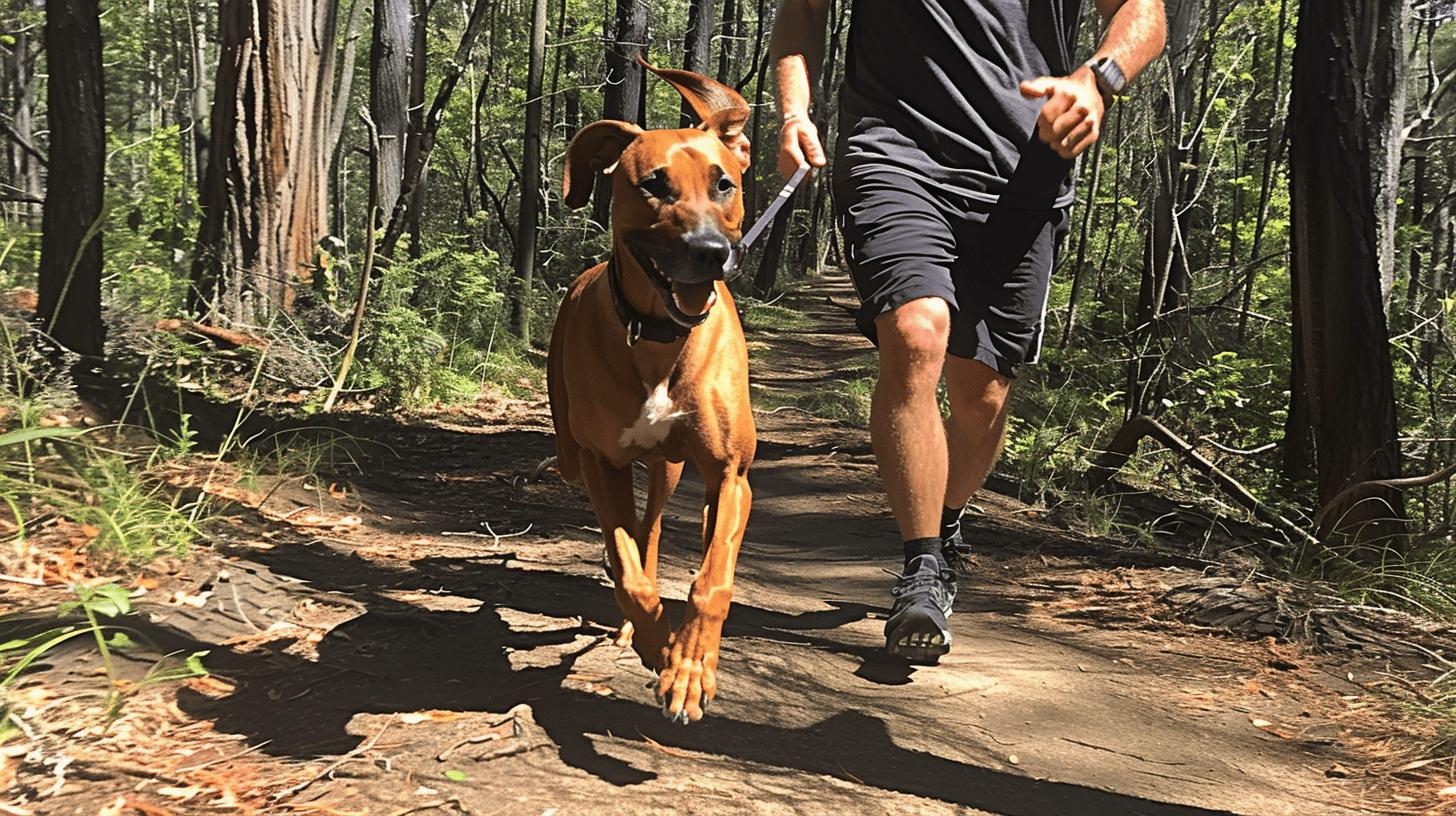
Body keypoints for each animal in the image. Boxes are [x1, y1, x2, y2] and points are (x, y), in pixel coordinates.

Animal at [544, 65, 751, 725]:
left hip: (673, 468)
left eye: (723, 184)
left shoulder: (731, 475)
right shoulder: (601, 462)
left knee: (657, 531)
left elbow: (711, 580)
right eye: (654, 185)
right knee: (632, 543)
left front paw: (691, 667)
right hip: (576, 456)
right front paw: (664, 652)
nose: (712, 253)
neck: (659, 337)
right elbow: (630, 573)